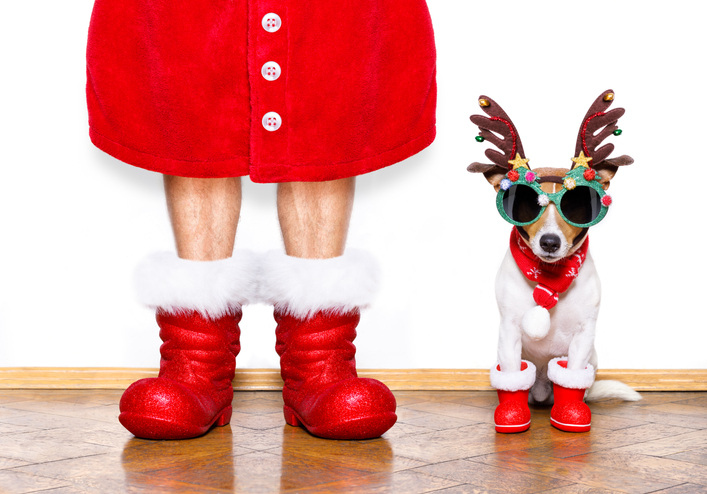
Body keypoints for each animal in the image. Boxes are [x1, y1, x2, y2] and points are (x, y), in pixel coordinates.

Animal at [470, 90, 640, 434]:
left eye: (577, 206)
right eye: (524, 205)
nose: (550, 242)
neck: (549, 276)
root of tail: (540, 392)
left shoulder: (583, 336)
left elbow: (572, 372)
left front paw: (570, 416)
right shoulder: (509, 332)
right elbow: (511, 373)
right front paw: (512, 417)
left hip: (592, 360)